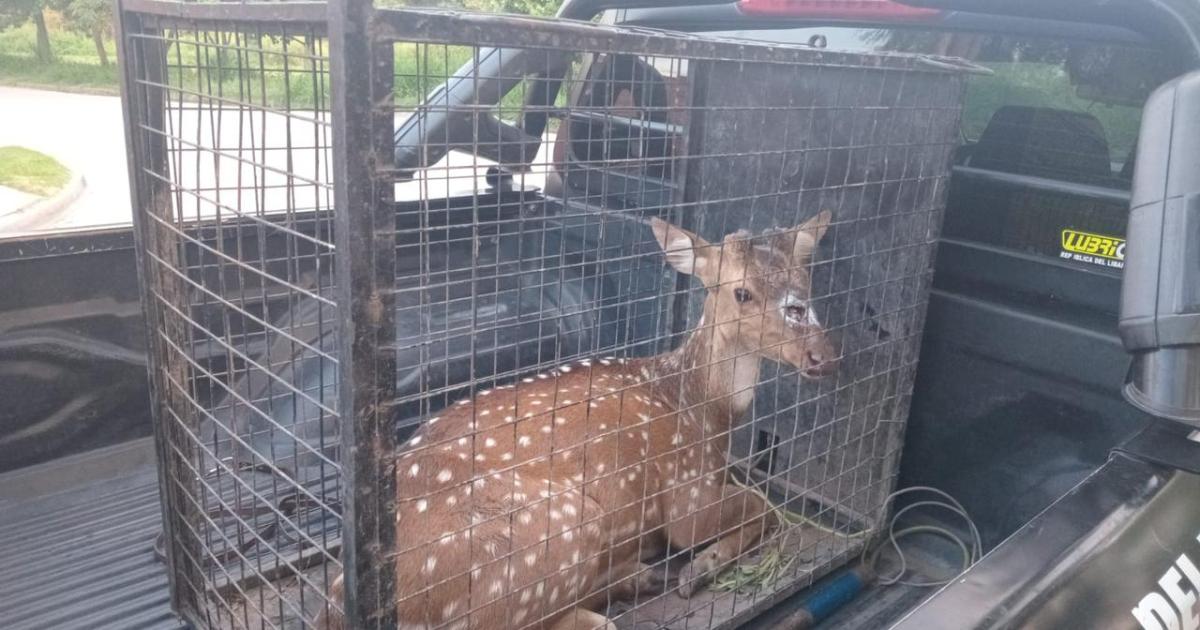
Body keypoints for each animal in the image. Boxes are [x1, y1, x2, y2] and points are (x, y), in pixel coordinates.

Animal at [321, 211, 836, 630]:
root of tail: (335, 609)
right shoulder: (686, 490)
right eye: (741, 292)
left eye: (806, 282)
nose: (822, 354)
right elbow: (762, 506)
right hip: (557, 529)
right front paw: (701, 566)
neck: (701, 406)